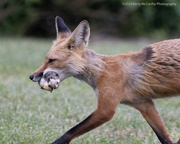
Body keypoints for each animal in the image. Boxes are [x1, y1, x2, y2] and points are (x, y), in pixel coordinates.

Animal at [29, 16, 180, 143]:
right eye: (45, 59)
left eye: (51, 60)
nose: (31, 76)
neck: (102, 70)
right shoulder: (144, 105)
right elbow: (164, 138)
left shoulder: (105, 110)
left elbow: (69, 132)